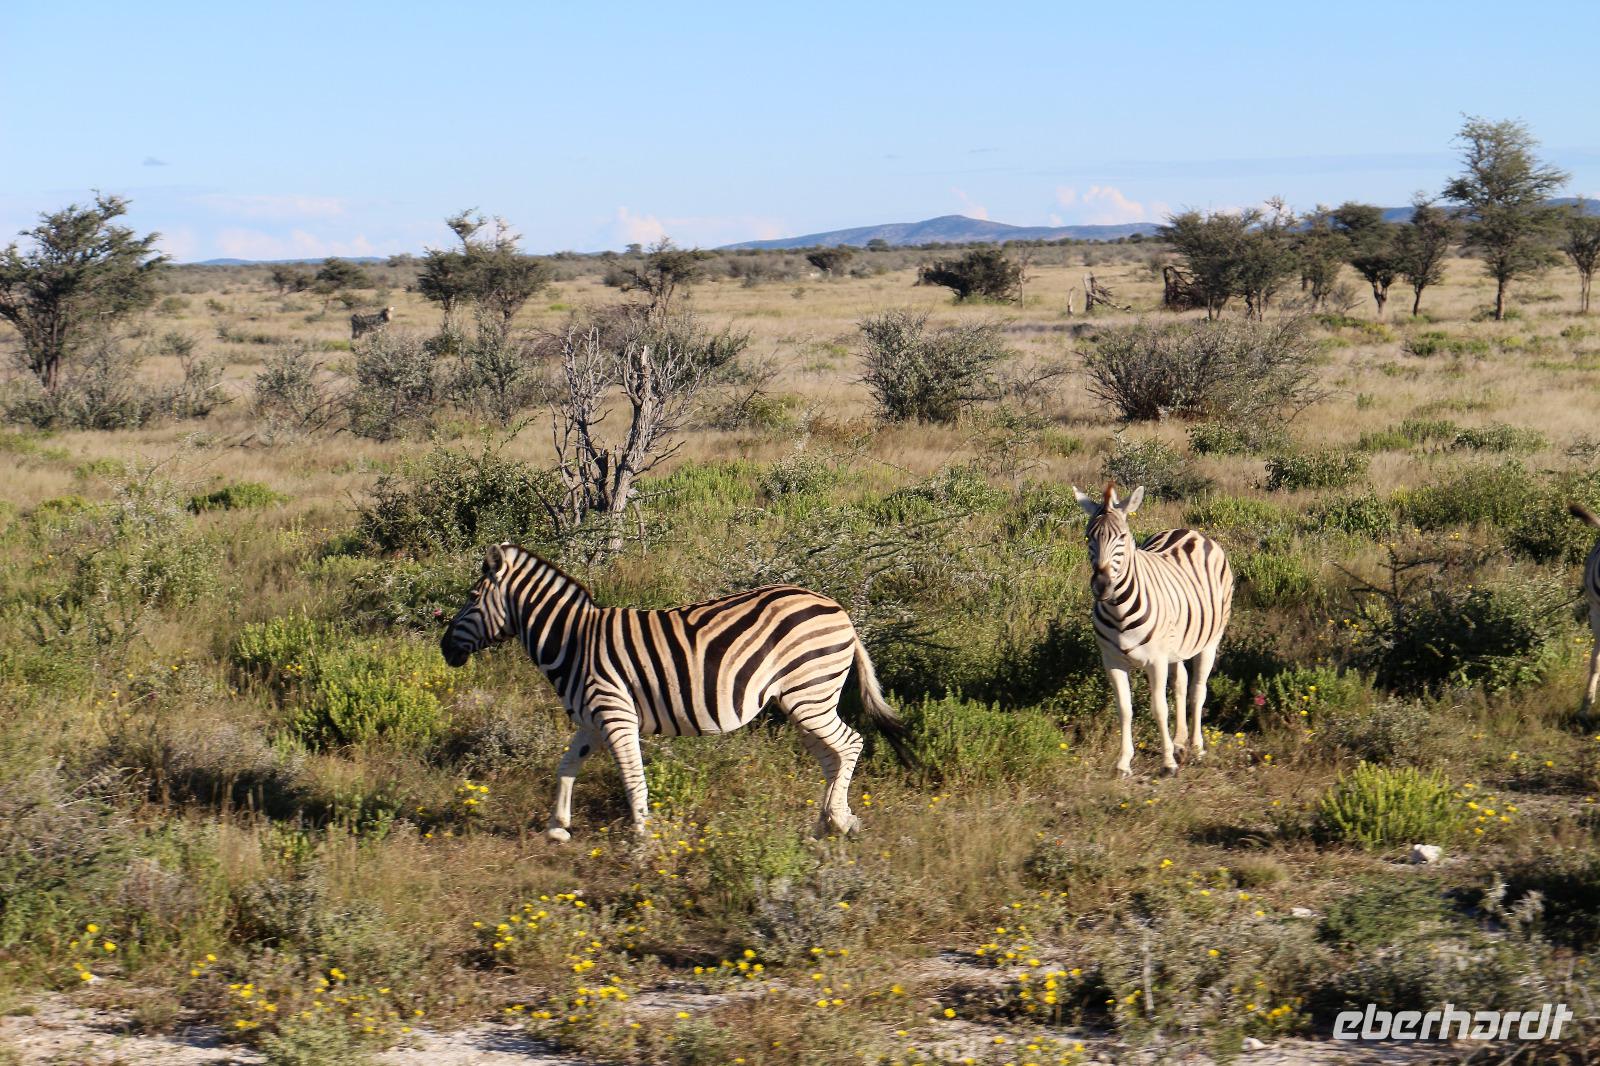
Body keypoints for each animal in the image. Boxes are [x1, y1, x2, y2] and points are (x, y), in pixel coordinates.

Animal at [440, 544, 916, 840]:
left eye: (471, 598)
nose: (444, 649)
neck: (574, 641)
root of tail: (841, 611)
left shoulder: (615, 714)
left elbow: (633, 779)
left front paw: (642, 841)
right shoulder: (592, 720)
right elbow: (566, 767)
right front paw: (558, 826)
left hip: (810, 693)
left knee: (850, 743)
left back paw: (838, 820)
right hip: (802, 699)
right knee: (831, 755)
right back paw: (828, 822)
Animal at [1072, 483, 1234, 777]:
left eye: (1122, 537)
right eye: (1088, 537)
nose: (1101, 586)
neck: (1119, 610)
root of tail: (1189, 530)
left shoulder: (1156, 661)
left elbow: (1159, 708)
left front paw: (1168, 763)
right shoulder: (1111, 661)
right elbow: (1125, 709)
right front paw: (1123, 763)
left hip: (1210, 640)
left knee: (1198, 690)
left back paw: (1196, 747)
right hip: (1177, 643)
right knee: (1181, 682)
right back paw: (1180, 742)